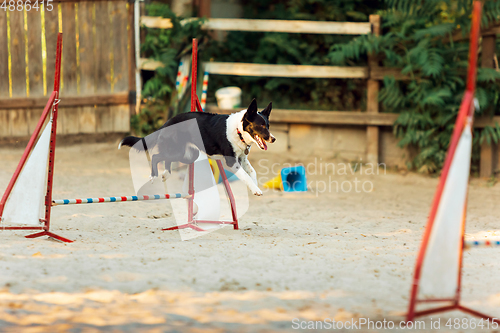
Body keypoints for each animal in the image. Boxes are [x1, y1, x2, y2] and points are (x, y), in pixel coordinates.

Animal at [120, 100, 278, 196]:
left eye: (268, 125)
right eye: (261, 126)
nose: (273, 139)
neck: (238, 130)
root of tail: (168, 122)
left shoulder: (242, 158)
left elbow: (252, 172)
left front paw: (255, 187)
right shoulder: (231, 162)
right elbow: (245, 176)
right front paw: (256, 189)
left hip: (186, 155)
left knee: (165, 159)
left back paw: (166, 174)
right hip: (178, 151)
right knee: (156, 156)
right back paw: (154, 175)